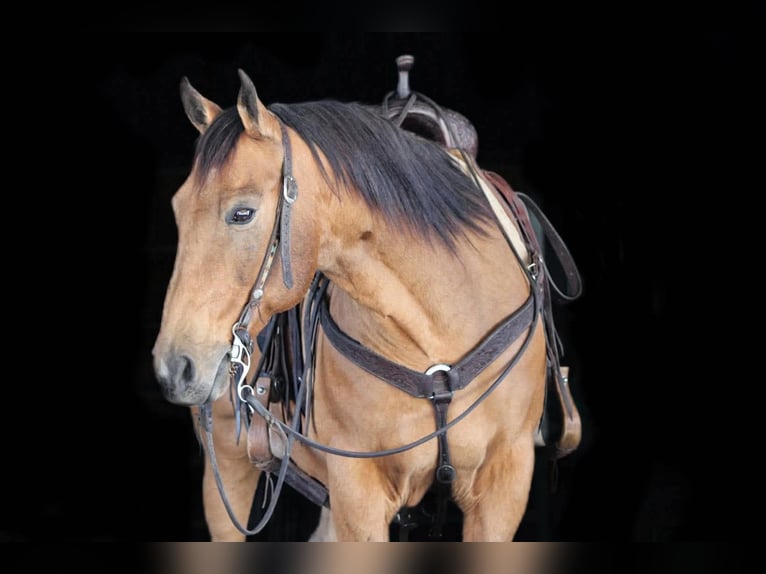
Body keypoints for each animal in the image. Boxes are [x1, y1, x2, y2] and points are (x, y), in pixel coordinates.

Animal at [153, 68, 581, 541]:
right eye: (178, 208)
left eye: (242, 213)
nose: (174, 367)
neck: (441, 328)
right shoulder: (358, 490)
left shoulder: (504, 483)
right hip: (228, 466)